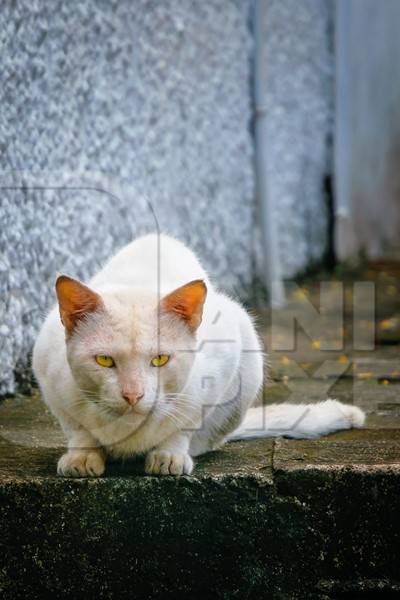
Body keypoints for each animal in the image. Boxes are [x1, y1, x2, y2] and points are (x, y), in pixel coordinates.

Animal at [33, 234, 366, 478]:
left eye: (160, 360)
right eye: (104, 361)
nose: (133, 395)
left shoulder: (223, 359)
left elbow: (185, 423)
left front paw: (169, 455)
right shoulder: (48, 373)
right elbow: (78, 429)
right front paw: (82, 456)